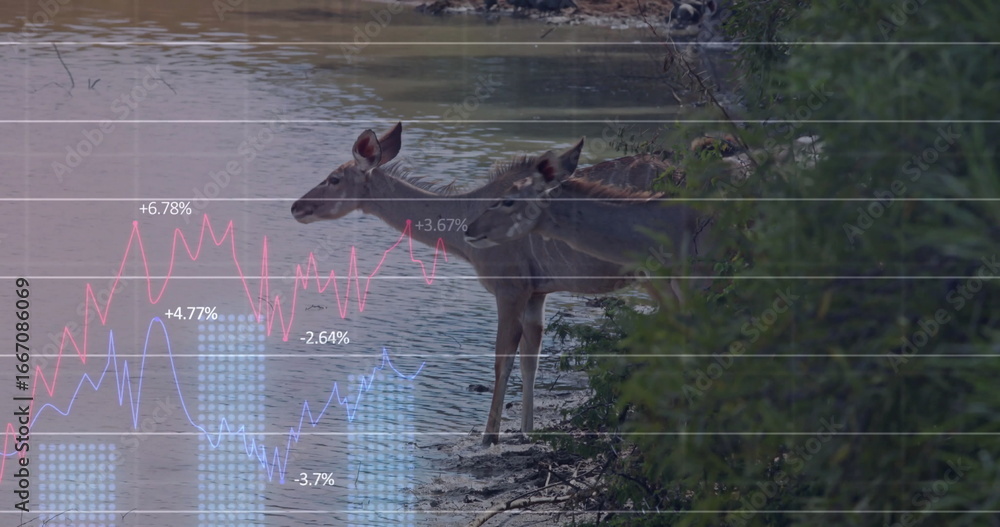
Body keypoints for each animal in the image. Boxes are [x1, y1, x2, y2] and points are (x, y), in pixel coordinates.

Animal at [291, 123, 676, 446]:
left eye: (334, 179)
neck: (464, 218)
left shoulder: (509, 289)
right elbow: (530, 360)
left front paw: (490, 436)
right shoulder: (537, 293)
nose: (297, 207)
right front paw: (526, 431)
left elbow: (501, 360)